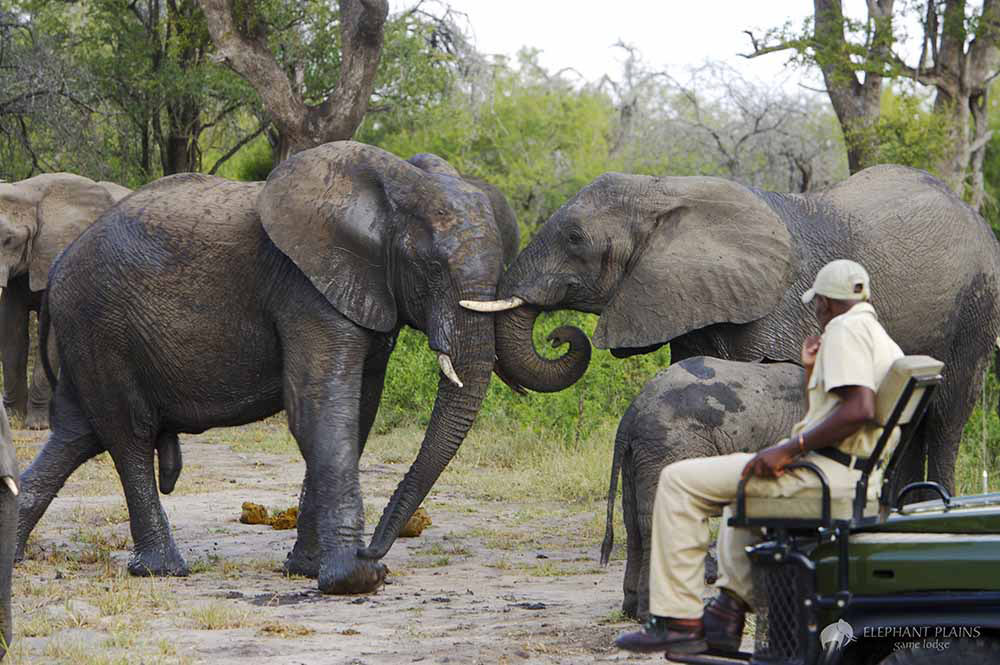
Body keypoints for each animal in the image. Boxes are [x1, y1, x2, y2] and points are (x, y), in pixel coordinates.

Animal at [15, 141, 512, 596]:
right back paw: (163, 570)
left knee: (77, 434)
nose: (374, 548)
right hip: (100, 325)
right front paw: (356, 578)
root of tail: (58, 269)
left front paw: (307, 569)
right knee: (127, 434)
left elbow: (358, 413)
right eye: (431, 267)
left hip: (90, 336)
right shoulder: (305, 289)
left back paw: (17, 555)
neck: (393, 185)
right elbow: (319, 409)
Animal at [488, 163, 1000, 490]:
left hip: (976, 307)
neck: (667, 190)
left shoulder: (782, 305)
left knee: (948, 413)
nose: (560, 335)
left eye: (575, 239)